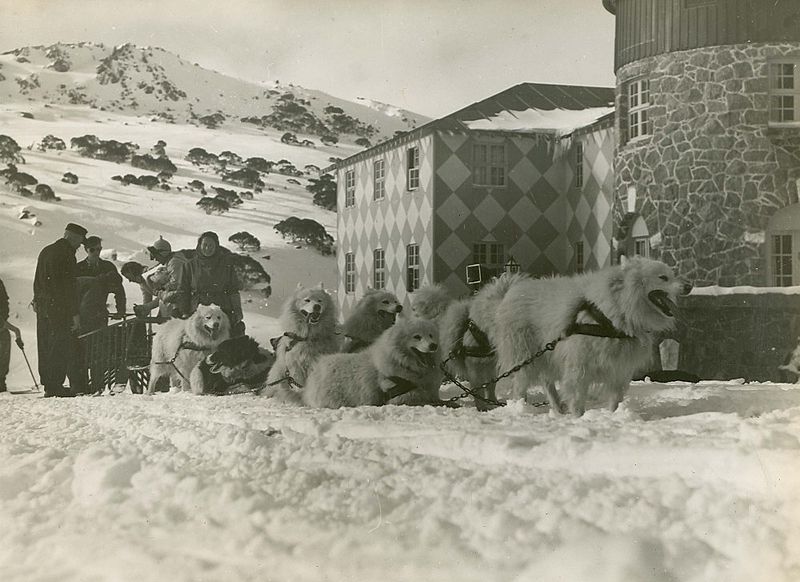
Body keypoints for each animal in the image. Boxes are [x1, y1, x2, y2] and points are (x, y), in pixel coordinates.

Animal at [446, 258, 692, 416]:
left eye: (672, 274)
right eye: (663, 277)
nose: (690, 285)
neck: (612, 310)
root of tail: (507, 295)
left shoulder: (619, 368)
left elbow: (615, 398)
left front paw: (613, 417)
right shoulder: (578, 364)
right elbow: (577, 395)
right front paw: (578, 418)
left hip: (546, 354)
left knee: (547, 383)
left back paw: (557, 409)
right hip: (525, 355)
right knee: (520, 386)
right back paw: (521, 410)